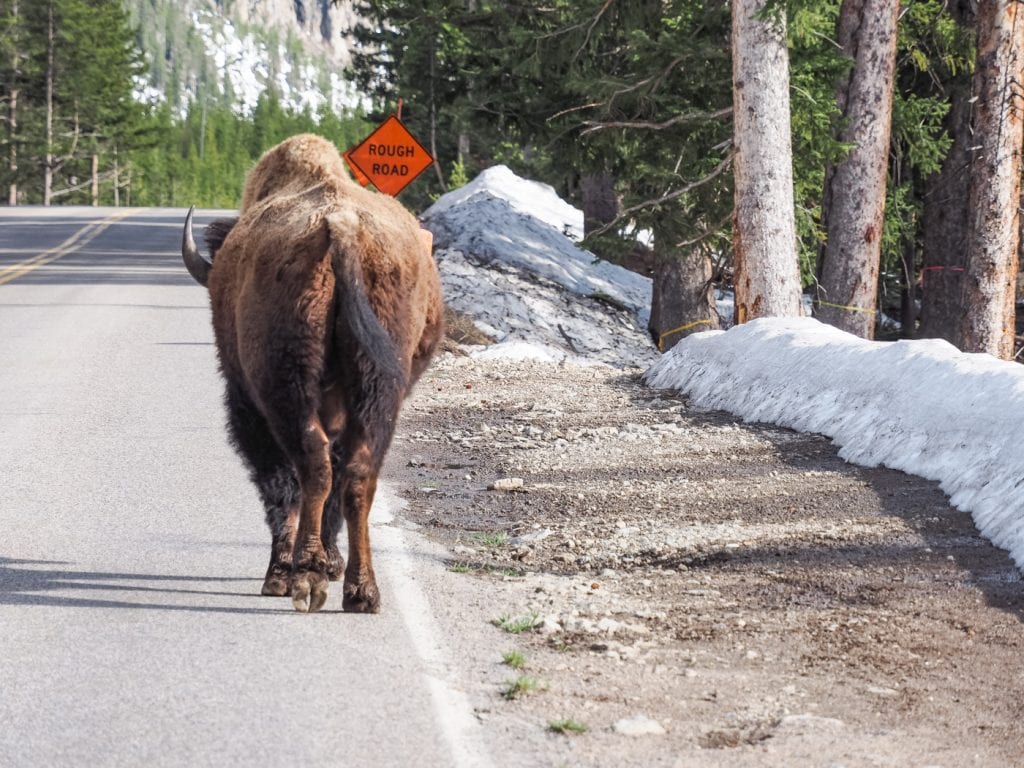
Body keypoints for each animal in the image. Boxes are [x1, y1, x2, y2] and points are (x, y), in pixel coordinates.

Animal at [181, 132, 444, 614]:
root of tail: (341, 228)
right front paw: (329, 563)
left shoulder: (249, 407)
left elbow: (281, 487)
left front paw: (281, 575)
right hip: (380, 390)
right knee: (356, 475)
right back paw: (360, 591)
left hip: (286, 391)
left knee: (311, 467)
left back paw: (304, 578)